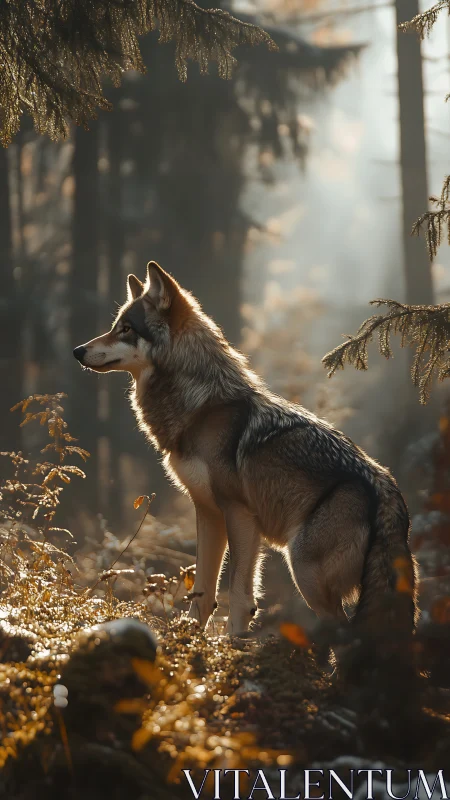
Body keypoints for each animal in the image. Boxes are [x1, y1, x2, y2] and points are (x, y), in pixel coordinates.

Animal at [73, 261, 418, 635]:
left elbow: (238, 594)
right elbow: (203, 593)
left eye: (125, 329)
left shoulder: (240, 515)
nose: (77, 351)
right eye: (114, 327)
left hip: (304, 571)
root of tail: (387, 488)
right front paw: (193, 638)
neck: (202, 405)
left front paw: (234, 641)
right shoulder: (208, 512)